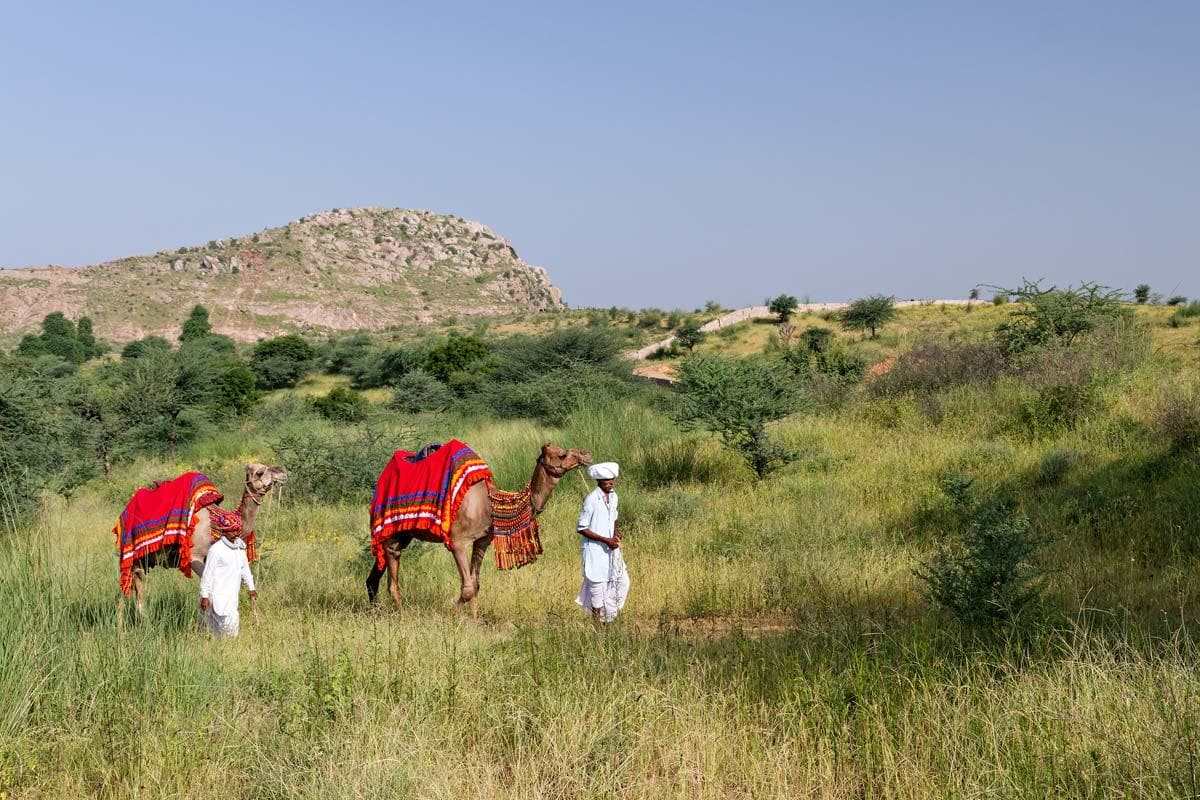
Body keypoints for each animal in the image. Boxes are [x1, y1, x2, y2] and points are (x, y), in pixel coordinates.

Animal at [120, 463, 287, 620]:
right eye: (260, 472)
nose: (281, 472)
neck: (218, 524)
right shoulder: (195, 557)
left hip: (144, 561)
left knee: (138, 588)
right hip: (131, 555)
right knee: (125, 591)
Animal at [366, 443, 592, 617]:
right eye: (562, 454)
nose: (586, 454)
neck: (488, 504)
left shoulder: (482, 540)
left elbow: (475, 584)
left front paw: (474, 621)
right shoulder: (457, 542)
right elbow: (467, 588)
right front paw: (450, 615)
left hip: (403, 534)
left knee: (375, 574)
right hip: (390, 529)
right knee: (392, 576)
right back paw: (402, 616)